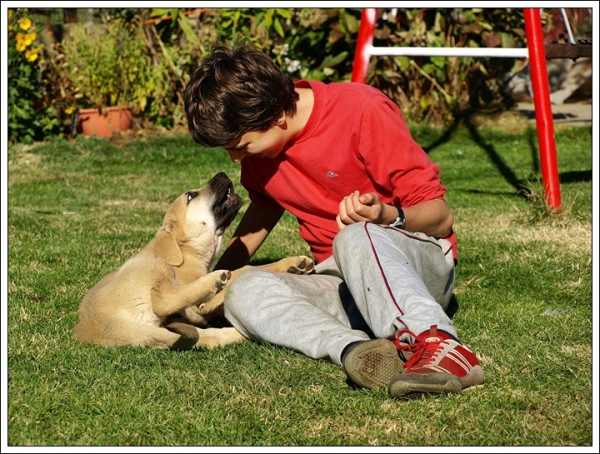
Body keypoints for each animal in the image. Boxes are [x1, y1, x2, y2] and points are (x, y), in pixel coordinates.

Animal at [74, 172, 314, 350]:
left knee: (207, 336)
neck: (187, 251)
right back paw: (215, 282)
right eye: (191, 195)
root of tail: (100, 326)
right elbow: (245, 268)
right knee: (167, 303)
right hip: (153, 267)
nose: (222, 173)